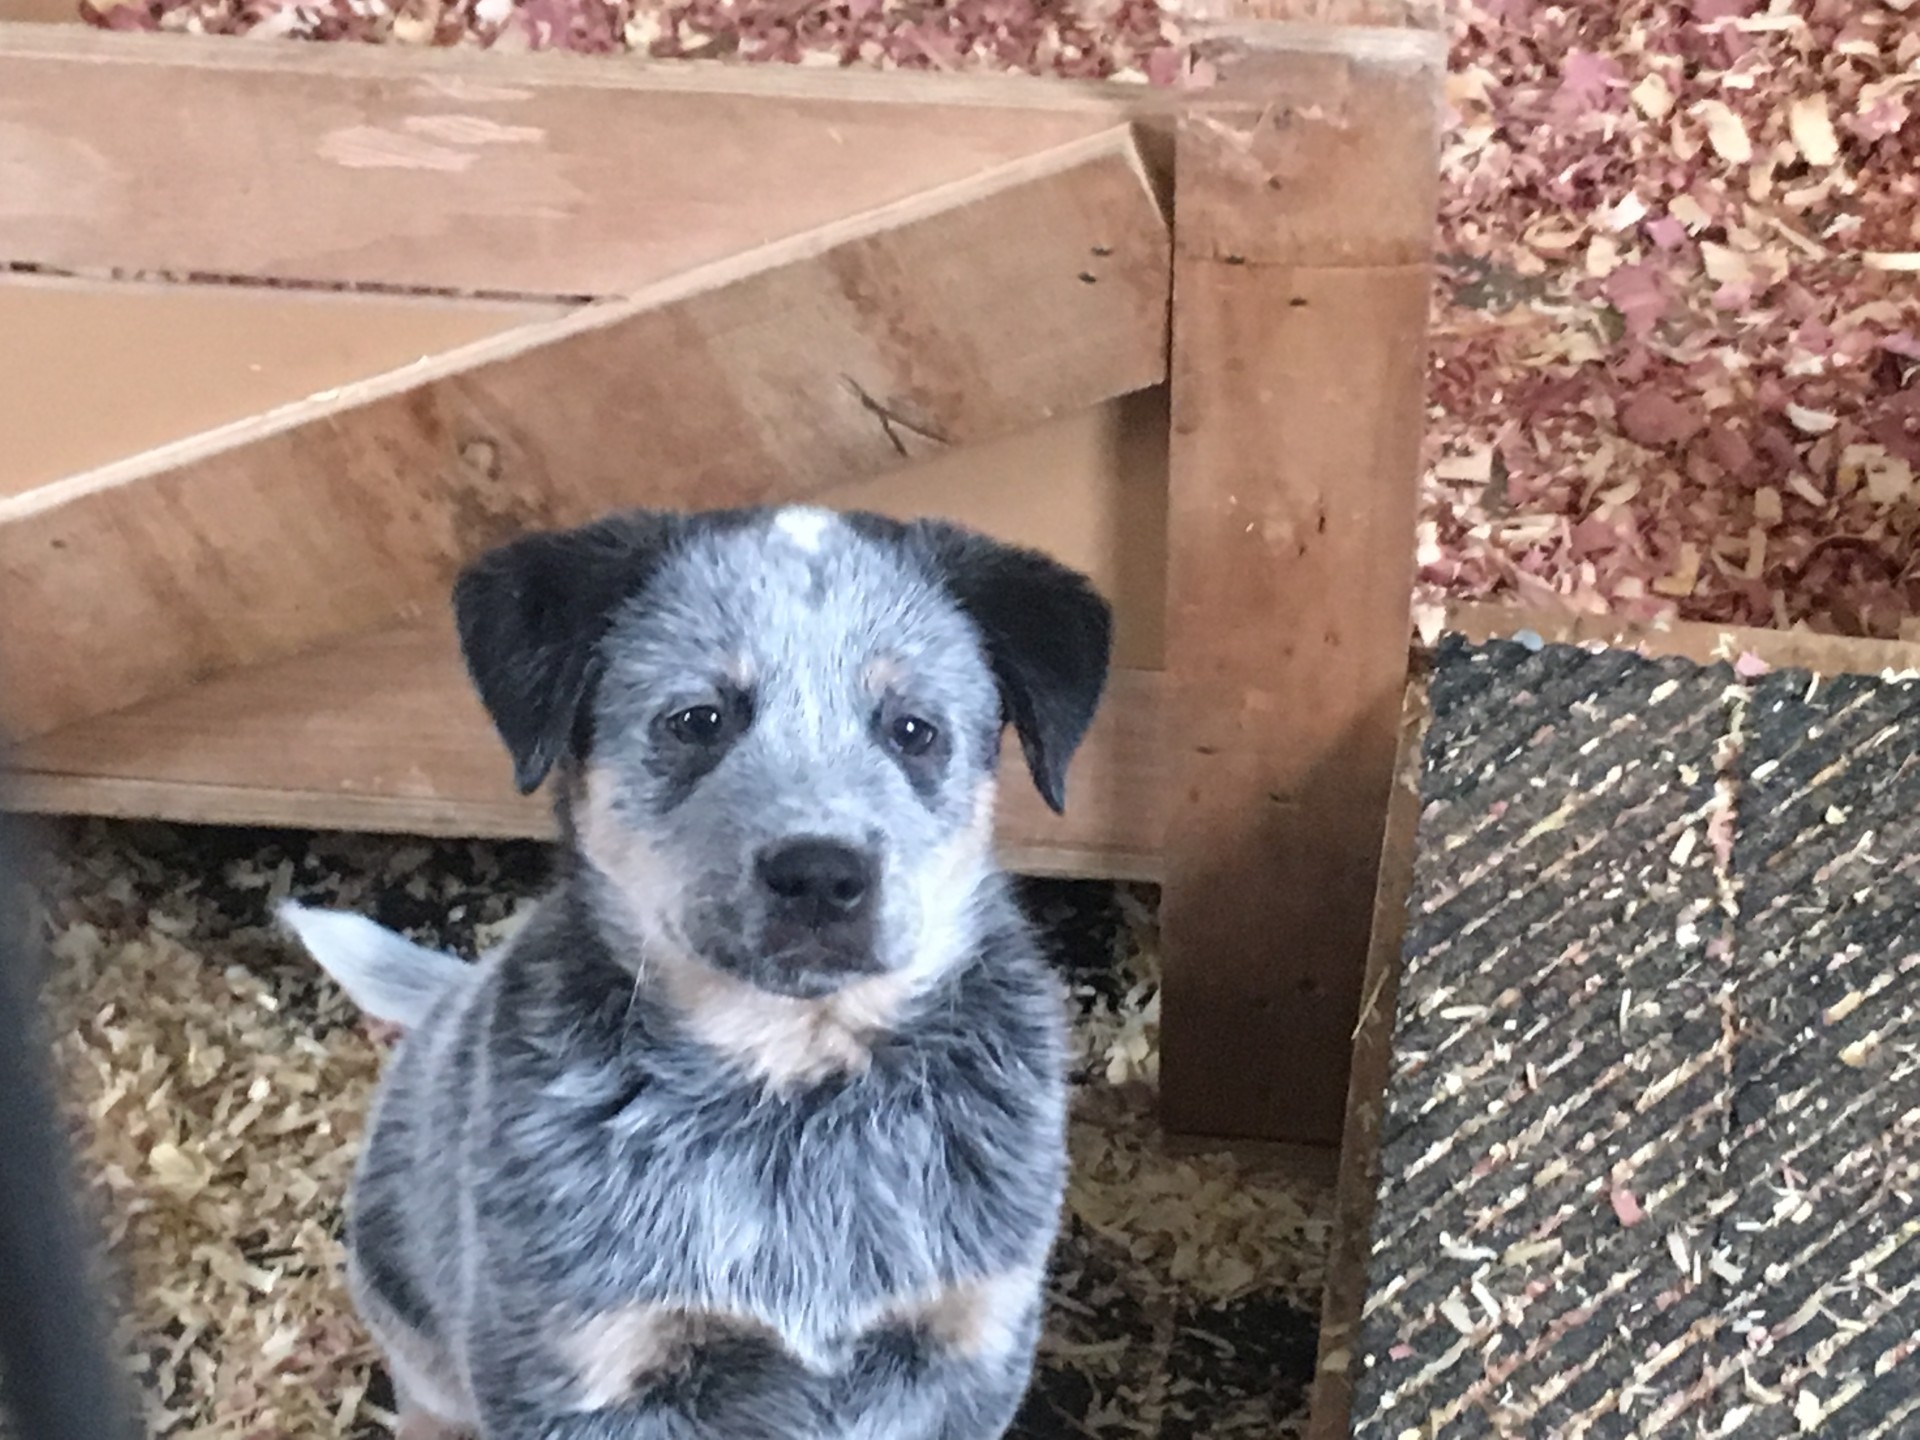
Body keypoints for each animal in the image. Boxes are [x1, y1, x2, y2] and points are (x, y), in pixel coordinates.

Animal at [286, 506, 1121, 1440]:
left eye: (913, 730)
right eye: (697, 720)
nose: (821, 873)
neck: (794, 1089)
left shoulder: (970, 1341)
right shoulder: (579, 1367)